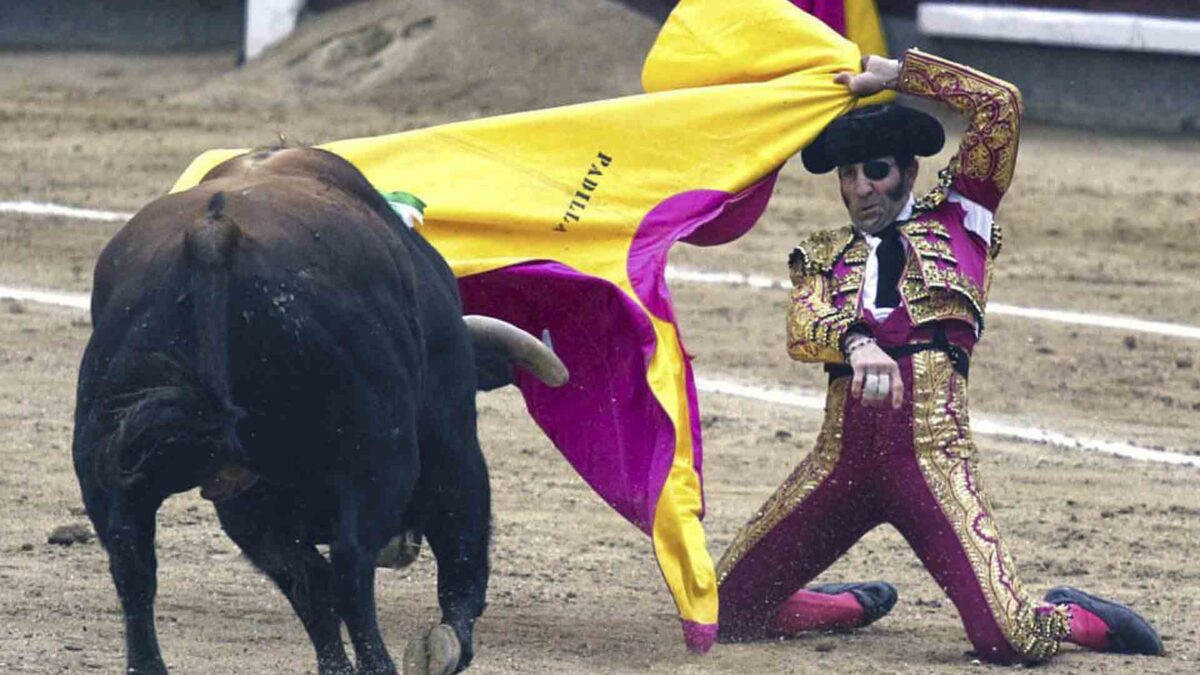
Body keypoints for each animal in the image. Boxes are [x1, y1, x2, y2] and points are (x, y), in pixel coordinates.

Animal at [71, 148, 566, 672]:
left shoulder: (251, 503)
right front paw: (446, 644)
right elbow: (462, 541)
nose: (402, 548)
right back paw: (380, 663)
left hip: (113, 457)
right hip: (378, 457)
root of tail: (212, 236)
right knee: (352, 567)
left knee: (132, 563)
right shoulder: (450, 429)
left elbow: (306, 582)